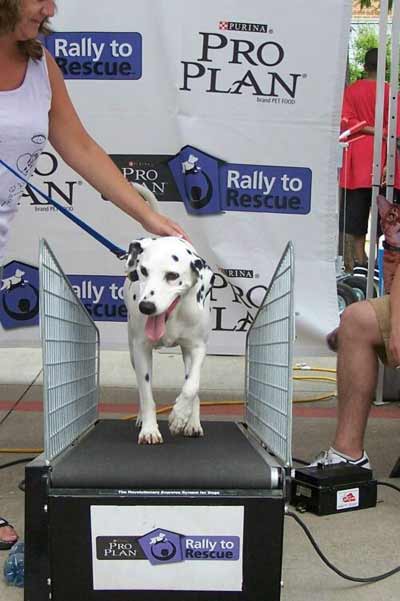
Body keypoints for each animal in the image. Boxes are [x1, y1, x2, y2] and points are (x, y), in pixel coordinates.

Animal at [123, 185, 214, 442]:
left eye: (172, 276)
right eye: (143, 271)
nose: (146, 307)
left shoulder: (197, 348)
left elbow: (192, 387)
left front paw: (180, 416)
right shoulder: (141, 348)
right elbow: (146, 395)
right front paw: (149, 429)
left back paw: (192, 422)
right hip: (133, 351)